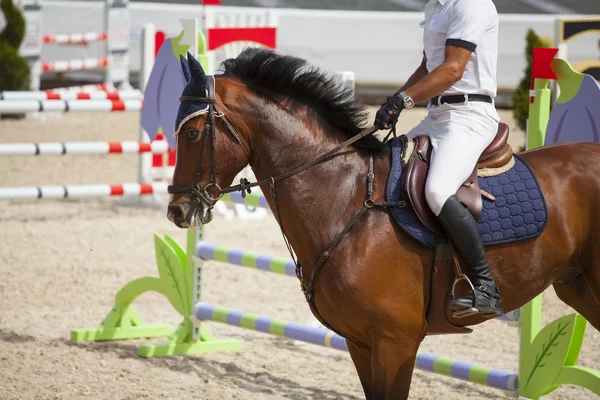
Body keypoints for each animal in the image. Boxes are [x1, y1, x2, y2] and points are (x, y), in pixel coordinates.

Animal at [165, 48, 600, 398]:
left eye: (192, 133)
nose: (177, 211)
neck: (346, 201)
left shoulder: (396, 342)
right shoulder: (360, 343)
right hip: (578, 288)